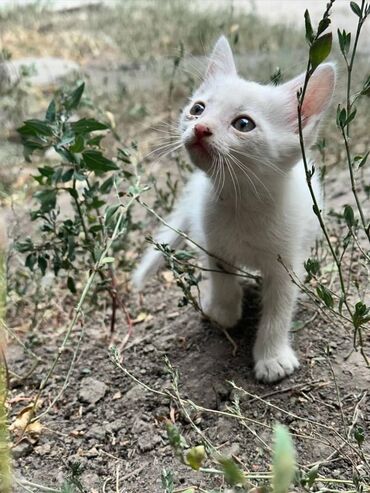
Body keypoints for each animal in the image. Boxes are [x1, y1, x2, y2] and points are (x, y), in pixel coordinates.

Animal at [134, 36, 336, 382]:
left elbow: (279, 309)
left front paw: (272, 357)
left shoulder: (287, 263)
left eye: (243, 124)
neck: (243, 201)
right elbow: (222, 280)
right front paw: (224, 312)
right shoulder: (213, 243)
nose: (201, 128)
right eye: (198, 109)